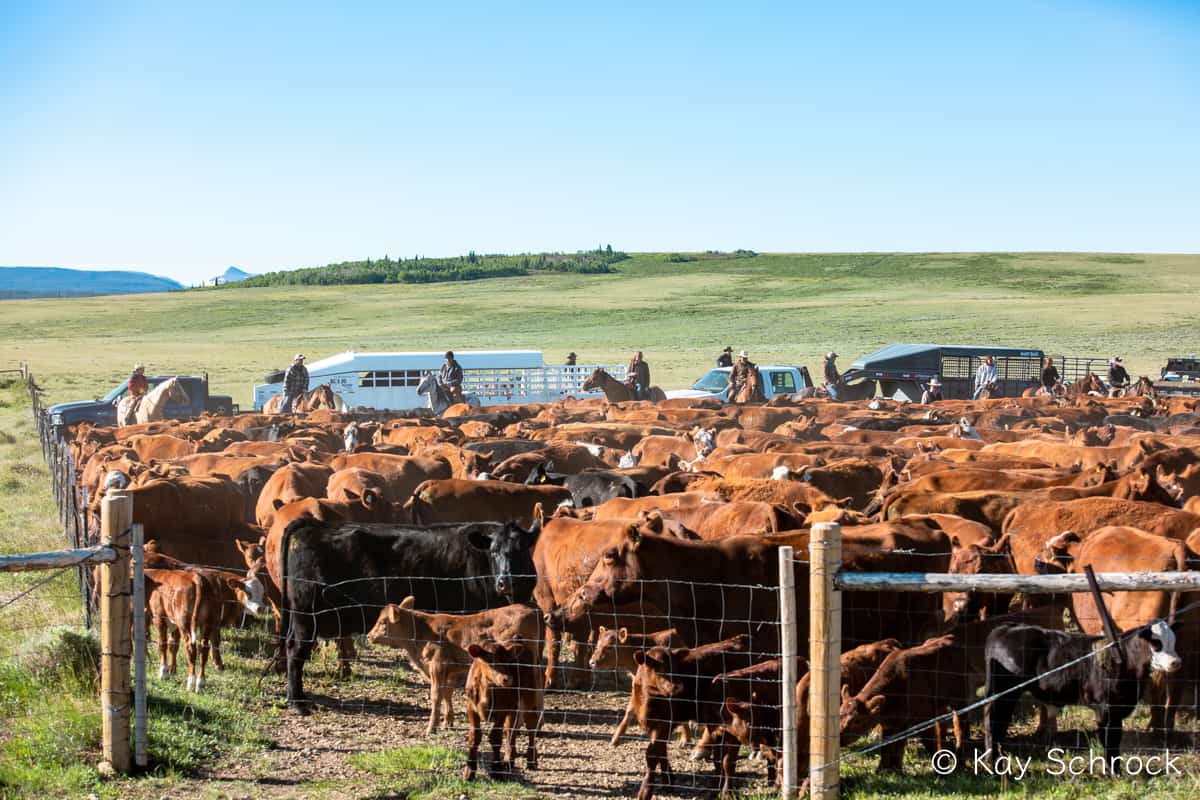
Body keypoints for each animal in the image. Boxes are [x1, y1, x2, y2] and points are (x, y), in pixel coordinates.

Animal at [279, 516, 541, 711]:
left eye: (521, 550)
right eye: (494, 551)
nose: (505, 582)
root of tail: (315, 526)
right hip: (306, 617)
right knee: (295, 651)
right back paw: (297, 701)